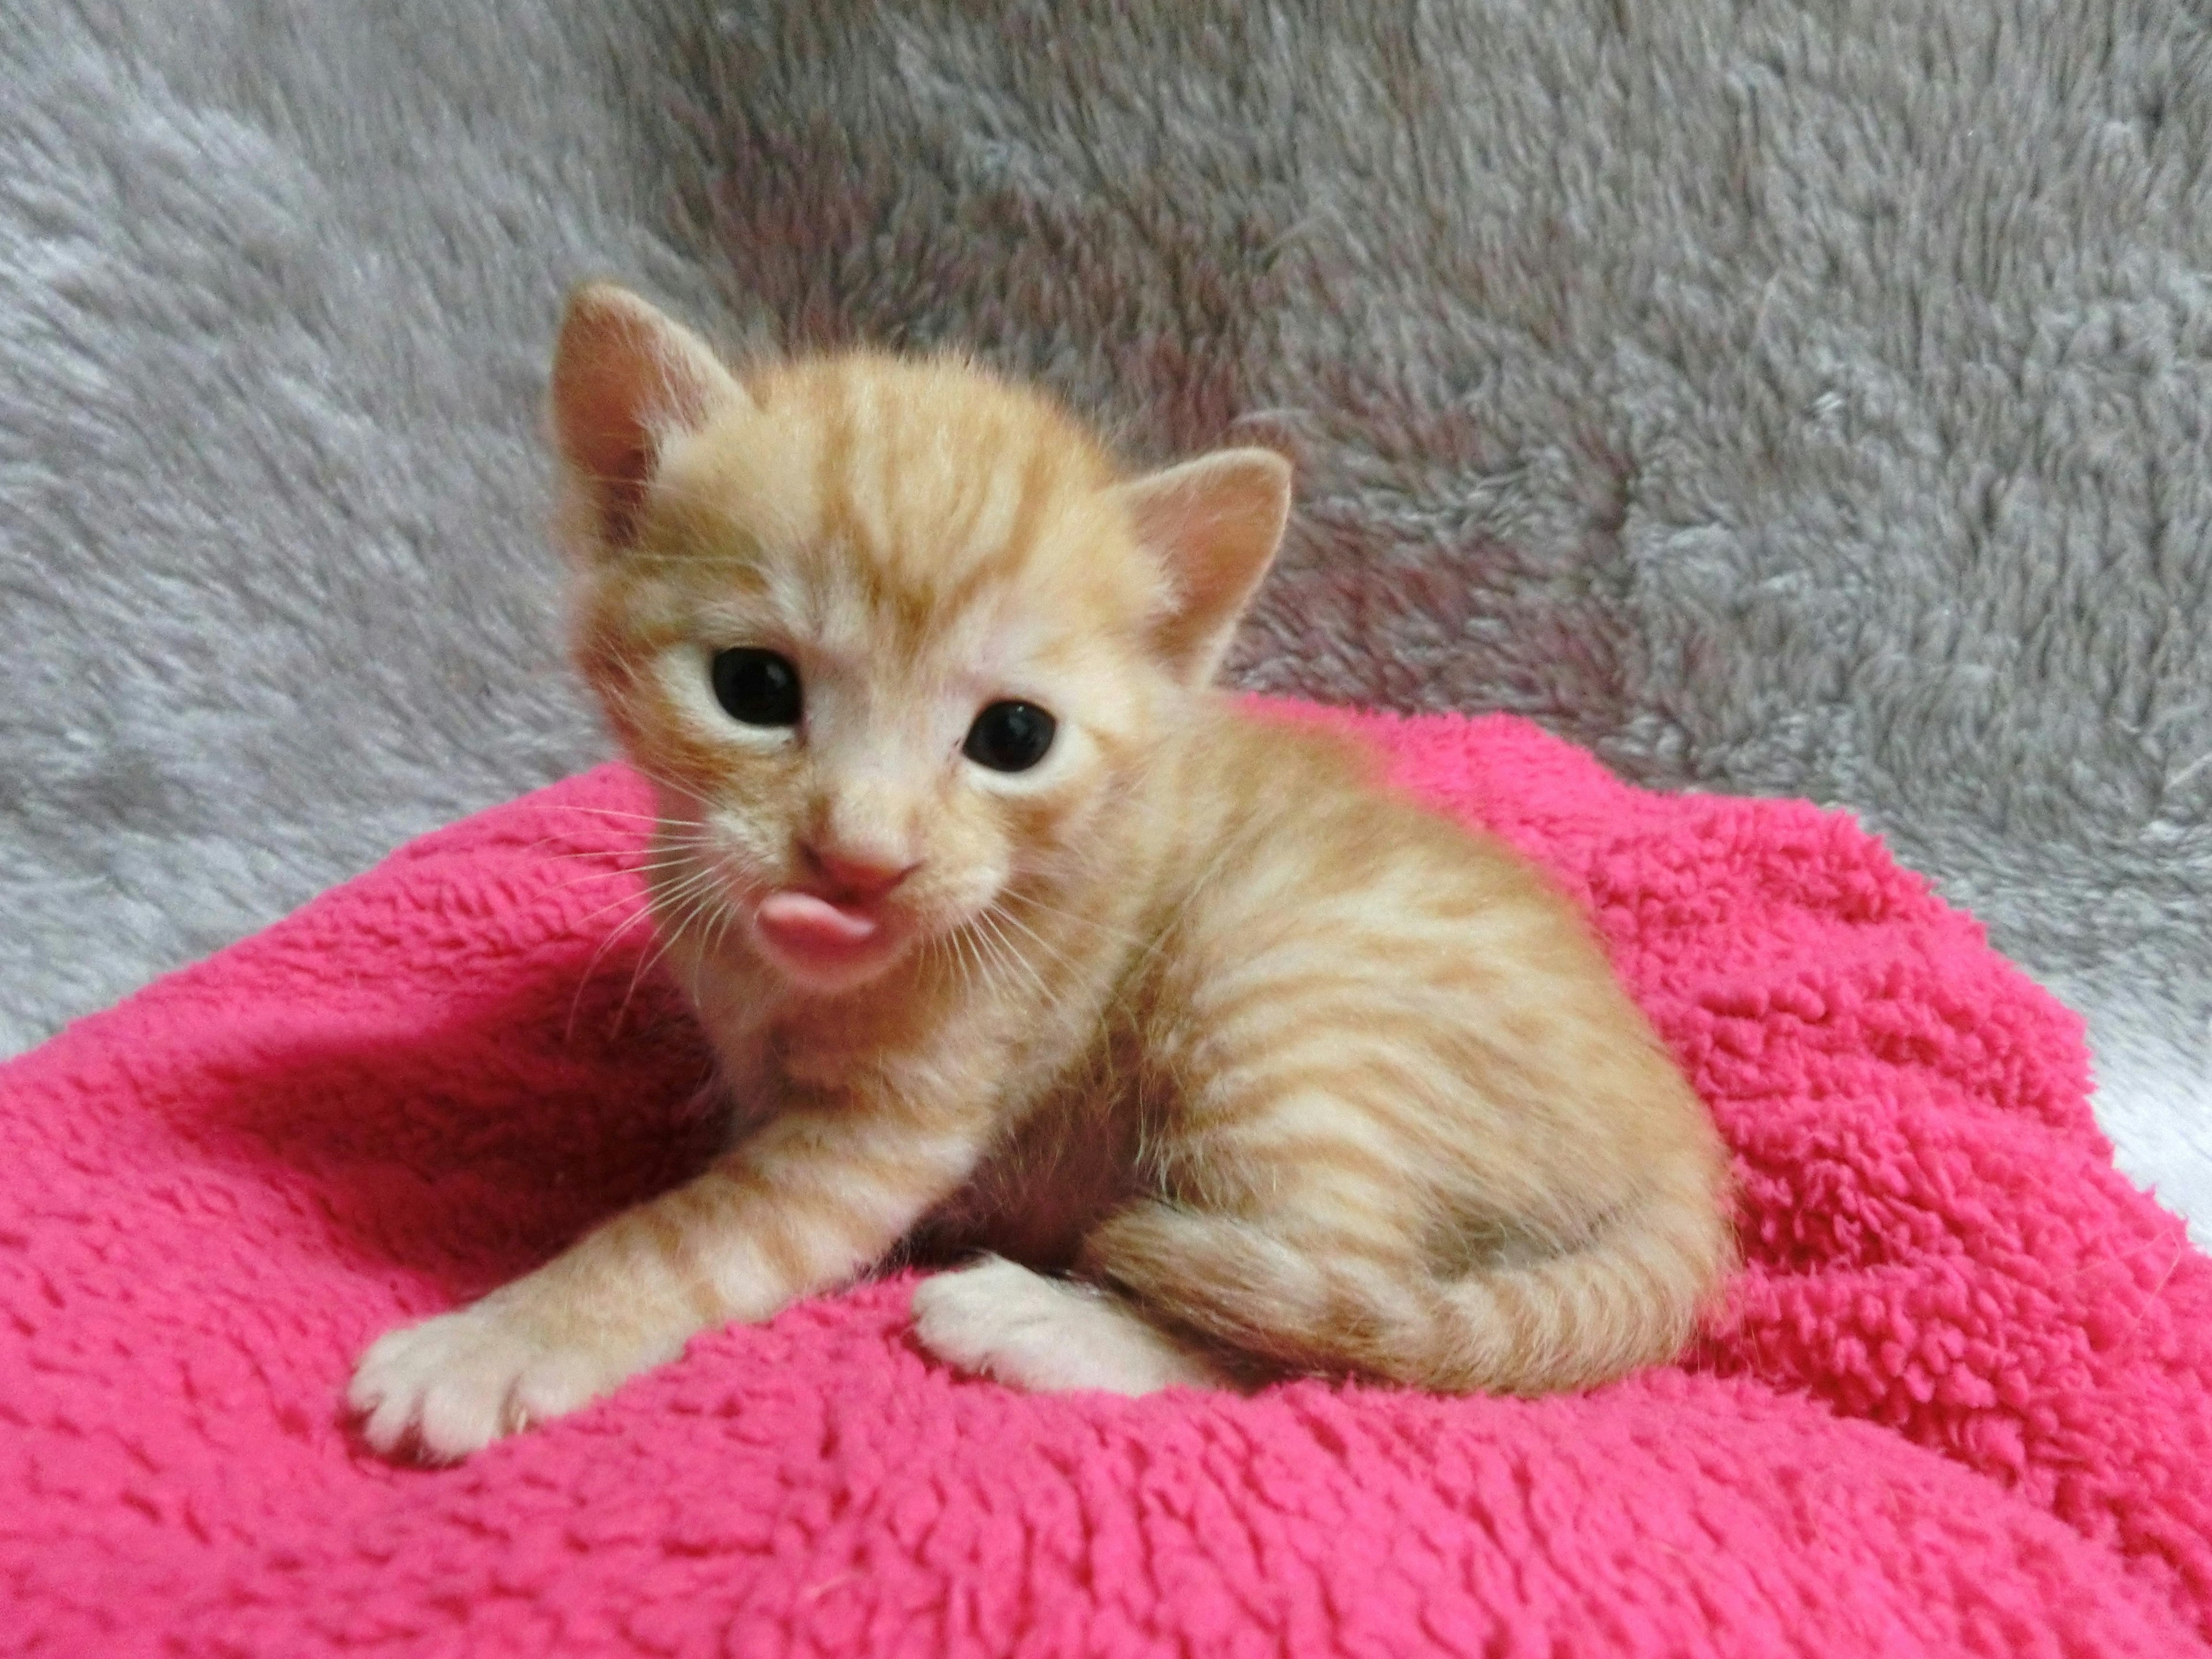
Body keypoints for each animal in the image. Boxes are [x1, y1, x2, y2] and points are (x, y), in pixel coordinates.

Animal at [345, 290, 1734, 1468]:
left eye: (1014, 738)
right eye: (752, 688)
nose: (861, 857)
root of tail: (1682, 1150)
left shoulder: (890, 1127)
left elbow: (691, 1235)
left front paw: (500, 1339)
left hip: (1273, 994)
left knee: (1308, 1339)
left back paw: (1047, 1322)